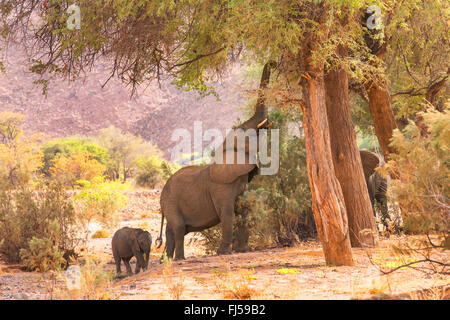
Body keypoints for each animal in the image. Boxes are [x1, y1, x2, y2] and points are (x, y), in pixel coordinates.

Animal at [156, 62, 272, 260]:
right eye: (247, 132)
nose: (272, 62)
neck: (225, 150)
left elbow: (243, 210)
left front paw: (243, 250)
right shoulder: (221, 187)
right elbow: (227, 213)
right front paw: (224, 252)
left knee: (171, 231)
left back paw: (167, 260)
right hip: (170, 202)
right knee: (178, 229)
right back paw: (179, 259)